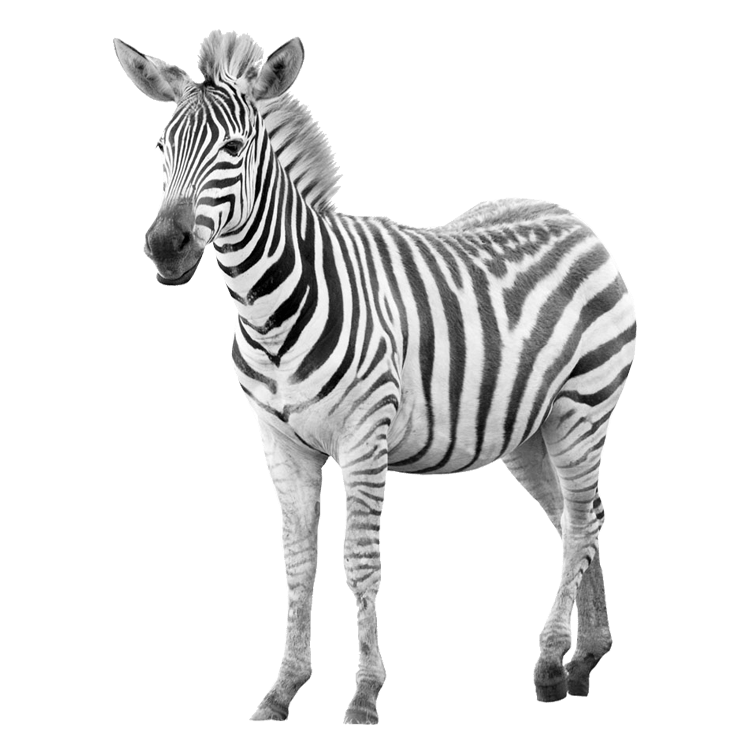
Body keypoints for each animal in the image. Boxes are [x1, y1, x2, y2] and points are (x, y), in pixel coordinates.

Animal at [114, 30, 637, 724]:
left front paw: (364, 694)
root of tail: (573, 218)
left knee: (579, 521)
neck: (271, 310)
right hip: (528, 429)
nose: (165, 247)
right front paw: (282, 689)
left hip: (585, 405)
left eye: (235, 149)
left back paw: (551, 664)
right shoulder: (279, 442)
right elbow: (298, 563)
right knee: (583, 518)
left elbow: (359, 564)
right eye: (161, 149)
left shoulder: (366, 435)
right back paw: (586, 657)